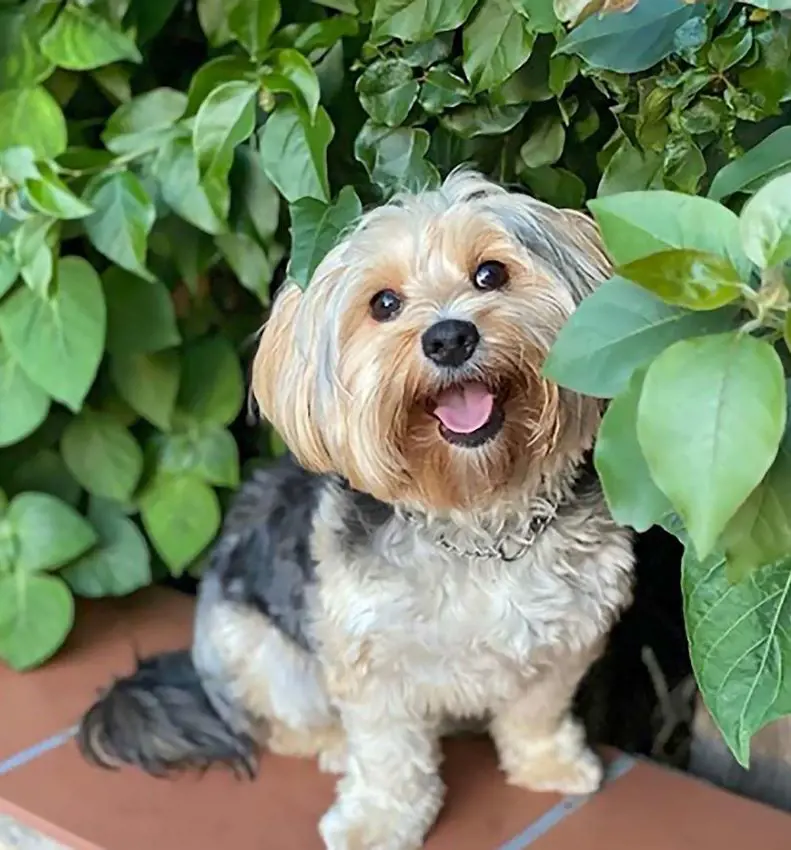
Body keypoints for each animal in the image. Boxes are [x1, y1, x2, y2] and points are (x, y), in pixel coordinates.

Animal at [79, 171, 636, 848]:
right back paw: (332, 745)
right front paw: (378, 819)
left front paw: (548, 763)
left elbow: (537, 710)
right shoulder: (370, 660)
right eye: (385, 304)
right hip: (255, 646)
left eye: (490, 274)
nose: (450, 337)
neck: (476, 518)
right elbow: (388, 753)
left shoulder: (569, 634)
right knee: (282, 724)